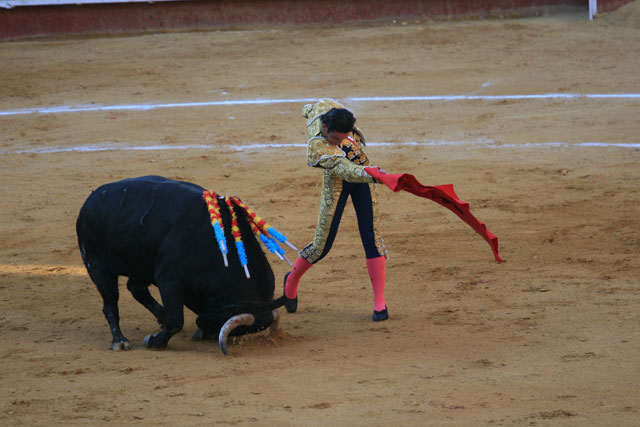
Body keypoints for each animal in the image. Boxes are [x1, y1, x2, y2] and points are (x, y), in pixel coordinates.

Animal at [75, 176, 284, 354]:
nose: (207, 333)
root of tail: (89, 201)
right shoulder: (169, 279)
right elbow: (176, 320)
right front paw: (154, 342)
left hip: (141, 266)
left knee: (136, 288)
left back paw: (160, 317)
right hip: (97, 265)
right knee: (110, 303)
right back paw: (119, 341)